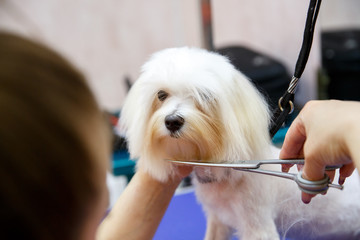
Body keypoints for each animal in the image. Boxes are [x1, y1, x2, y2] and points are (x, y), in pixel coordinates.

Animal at [120, 47, 360, 240]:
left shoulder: (258, 226)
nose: (172, 121)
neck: (225, 177)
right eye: (161, 94)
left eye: (205, 96)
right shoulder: (218, 219)